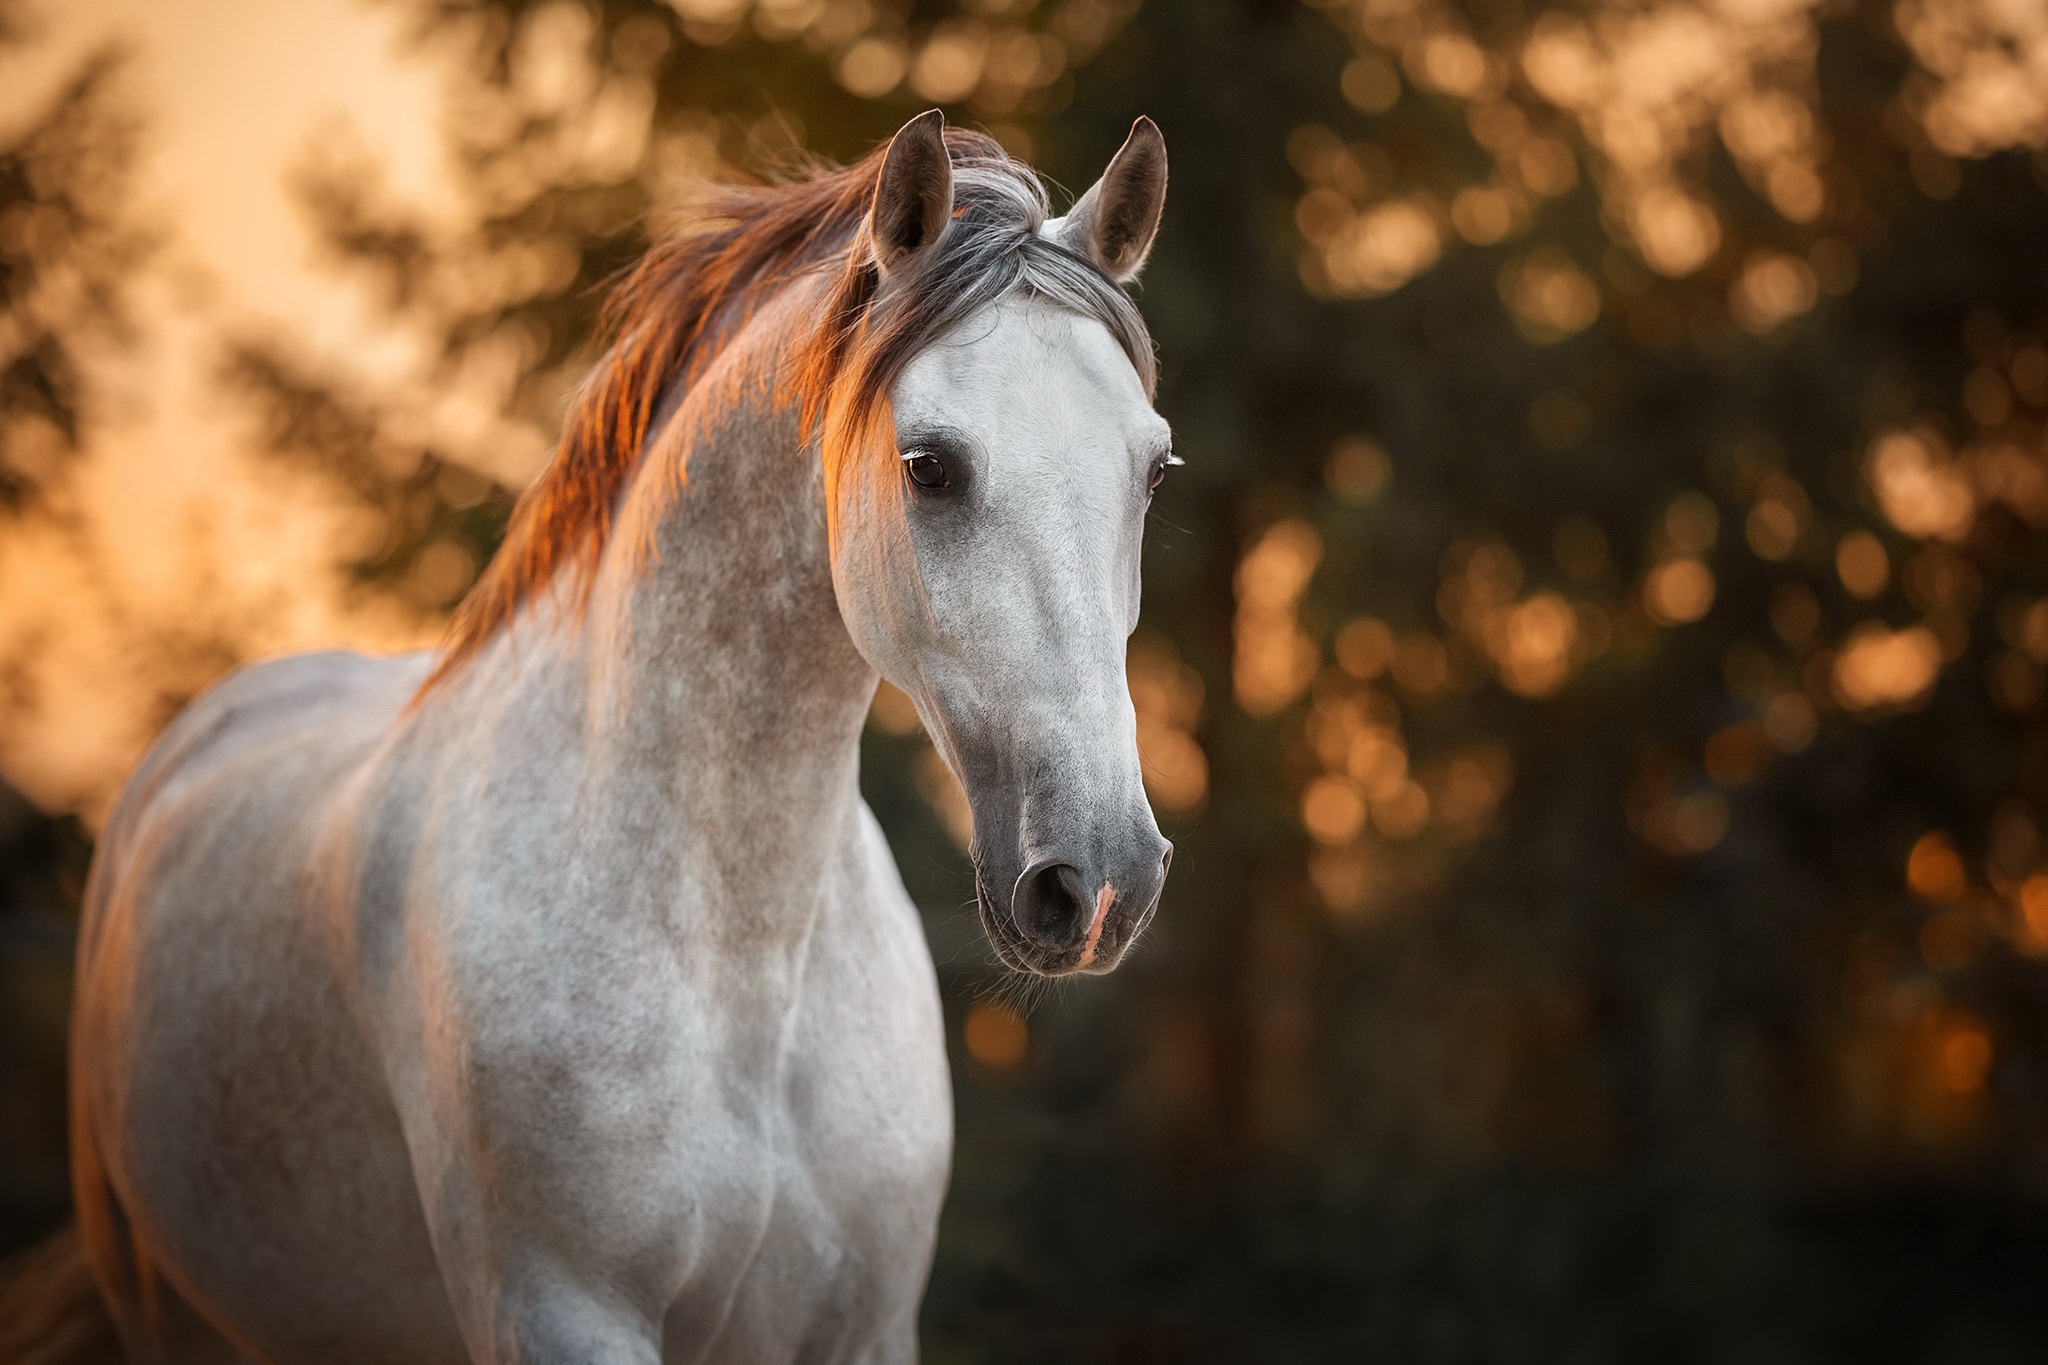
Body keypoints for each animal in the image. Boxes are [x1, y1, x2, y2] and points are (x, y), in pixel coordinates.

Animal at [64, 109, 1179, 1365]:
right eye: (928, 465)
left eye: (1153, 469)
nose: (1100, 880)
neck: (741, 964)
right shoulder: (565, 1314)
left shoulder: (863, 1328)